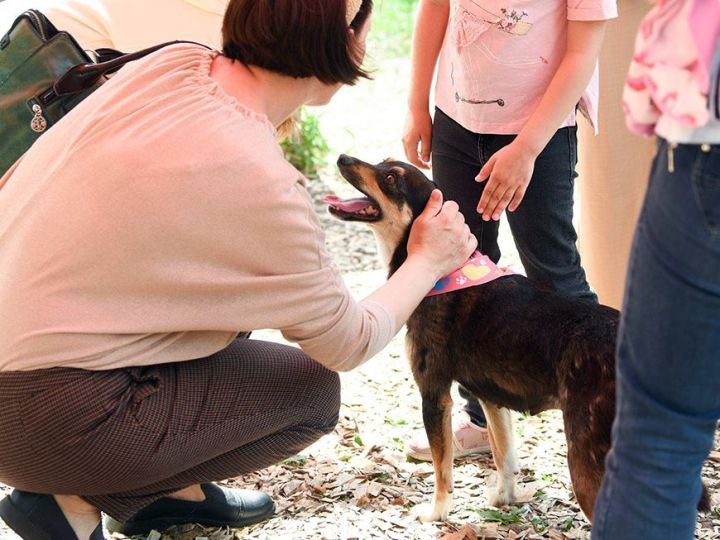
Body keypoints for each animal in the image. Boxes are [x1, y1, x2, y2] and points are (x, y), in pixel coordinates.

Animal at [324, 155, 620, 524]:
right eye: (383, 163)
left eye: (391, 178)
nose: (342, 158)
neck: (445, 272)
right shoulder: (492, 398)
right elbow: (504, 456)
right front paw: (503, 499)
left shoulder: (434, 394)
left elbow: (443, 470)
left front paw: (435, 513)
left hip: (585, 461)